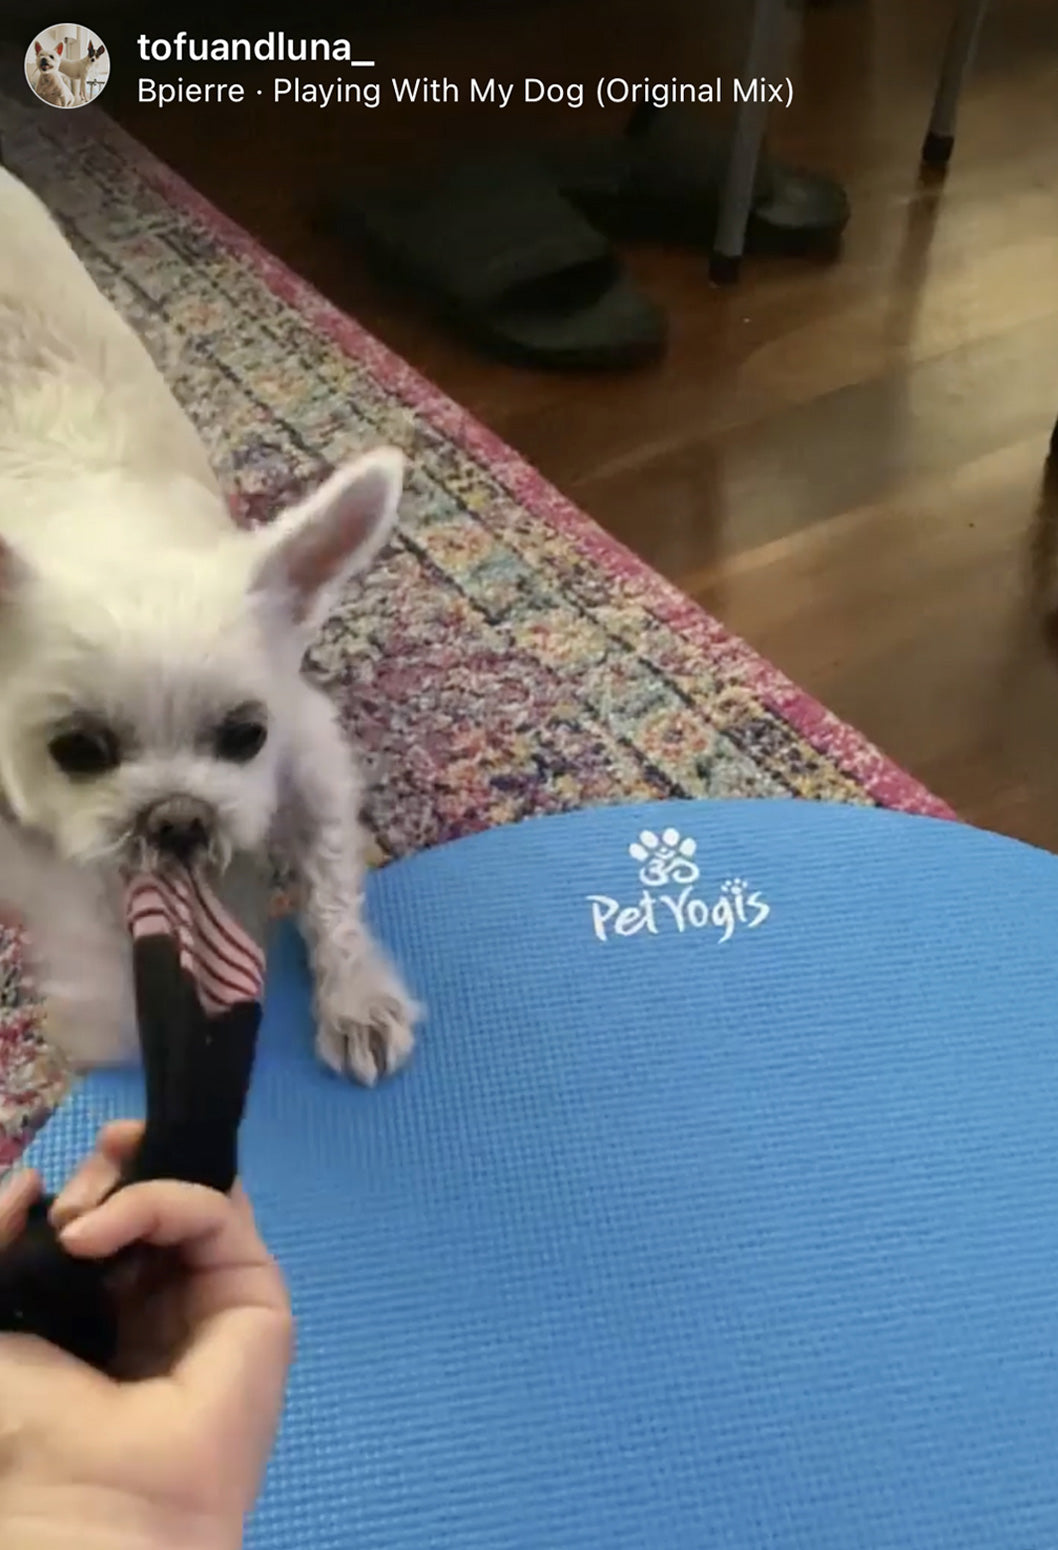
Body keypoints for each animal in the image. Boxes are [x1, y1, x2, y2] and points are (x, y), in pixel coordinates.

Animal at [0, 169, 421, 1085]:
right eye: (77, 751)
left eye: (244, 735)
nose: (178, 820)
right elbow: (85, 909)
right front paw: (111, 1012)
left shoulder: (308, 747)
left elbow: (329, 881)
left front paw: (356, 997)